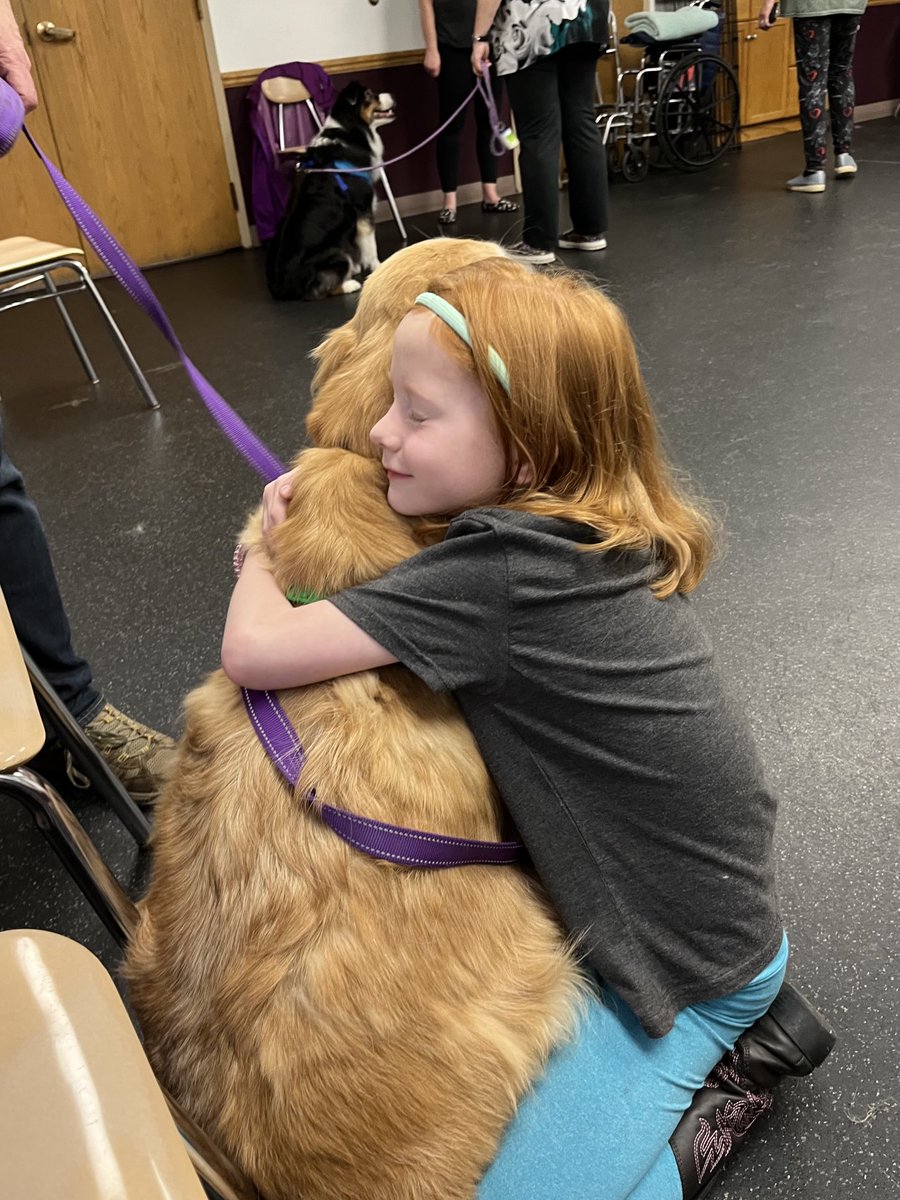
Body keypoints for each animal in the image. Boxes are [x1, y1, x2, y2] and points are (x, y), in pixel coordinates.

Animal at [264, 82, 398, 302]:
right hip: (335, 255)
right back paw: (349, 284)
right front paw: (377, 267)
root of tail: (280, 287)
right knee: (315, 292)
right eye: (370, 94)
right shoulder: (363, 209)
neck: (352, 132)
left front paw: (360, 266)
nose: (393, 94)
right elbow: (370, 246)